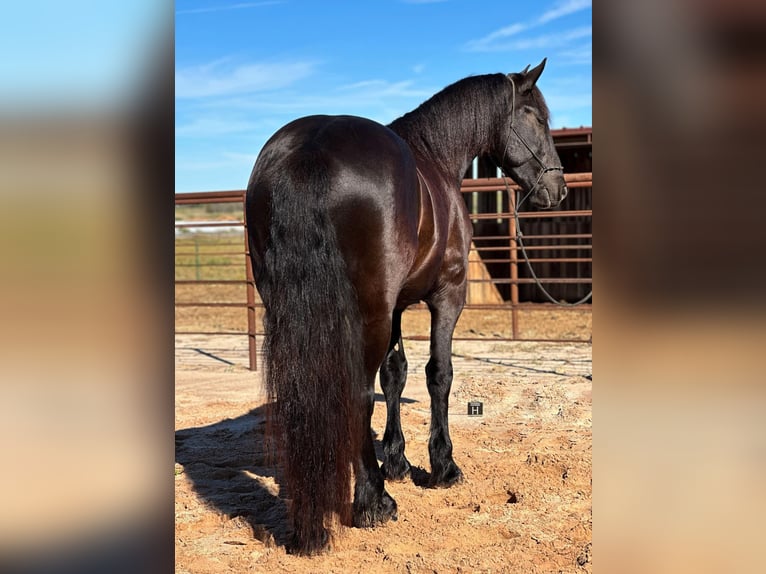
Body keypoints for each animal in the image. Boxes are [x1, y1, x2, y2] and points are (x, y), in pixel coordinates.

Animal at [246, 59, 564, 560]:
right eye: (537, 117)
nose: (559, 188)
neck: (434, 157)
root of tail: (309, 151)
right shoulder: (447, 296)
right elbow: (439, 374)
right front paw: (442, 465)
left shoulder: (395, 306)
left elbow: (394, 374)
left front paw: (395, 458)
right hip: (370, 313)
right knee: (356, 394)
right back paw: (373, 501)